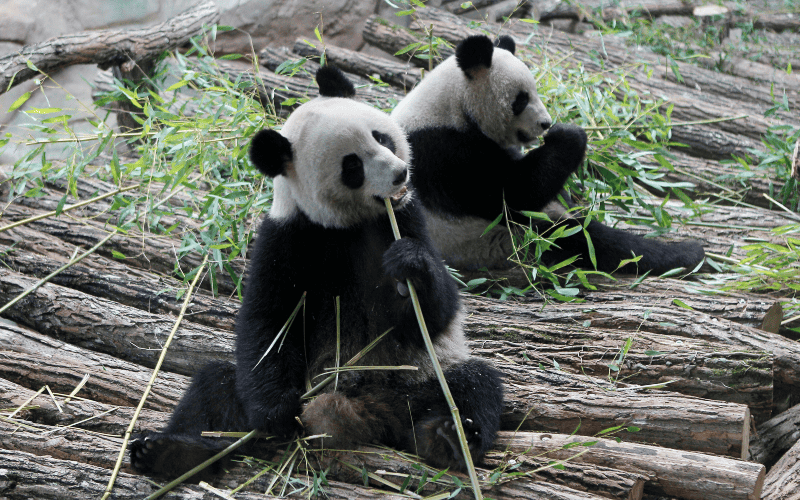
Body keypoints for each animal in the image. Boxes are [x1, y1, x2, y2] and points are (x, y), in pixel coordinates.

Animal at [129, 66, 503, 479]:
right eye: (352, 166)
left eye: (381, 137)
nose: (400, 173)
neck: (346, 225)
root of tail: (370, 413)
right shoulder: (287, 238)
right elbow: (269, 322)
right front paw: (277, 414)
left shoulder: (406, 217)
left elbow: (434, 314)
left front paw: (410, 266)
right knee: (214, 387)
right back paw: (171, 452)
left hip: (420, 377)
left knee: (473, 385)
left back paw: (448, 438)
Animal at [391, 35, 705, 275]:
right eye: (521, 100)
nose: (545, 123)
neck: (452, 105)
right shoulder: (444, 152)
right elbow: (511, 194)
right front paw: (569, 135)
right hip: (498, 242)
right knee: (581, 239)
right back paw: (685, 254)